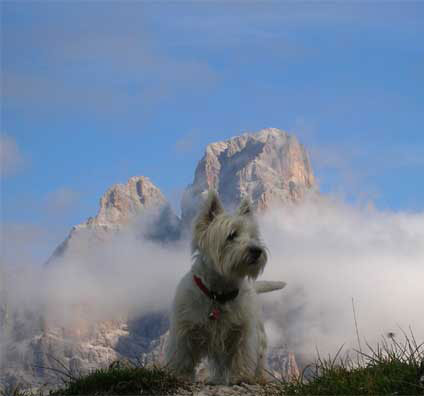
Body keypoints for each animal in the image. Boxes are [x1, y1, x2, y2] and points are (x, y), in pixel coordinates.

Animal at [166, 191, 284, 384]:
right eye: (232, 235)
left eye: (253, 236)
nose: (257, 250)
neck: (219, 292)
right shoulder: (185, 327)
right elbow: (182, 354)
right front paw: (179, 374)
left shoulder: (242, 330)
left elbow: (241, 354)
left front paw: (241, 376)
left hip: (259, 335)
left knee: (259, 359)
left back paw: (258, 378)